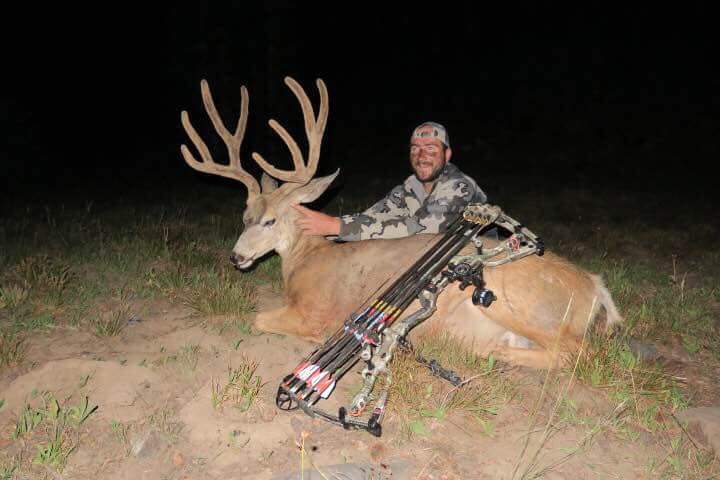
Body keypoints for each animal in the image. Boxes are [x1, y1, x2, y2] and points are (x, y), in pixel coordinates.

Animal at [180, 76, 623, 369]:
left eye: (271, 220)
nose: (236, 257)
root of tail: (594, 287)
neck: (306, 262)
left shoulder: (316, 313)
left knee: (577, 353)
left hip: (516, 299)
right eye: (245, 216)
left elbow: (257, 318)